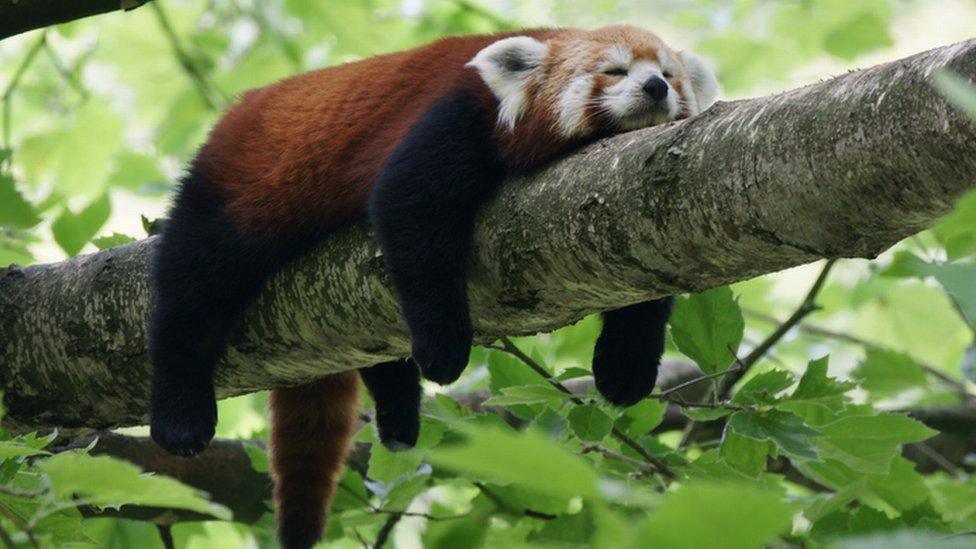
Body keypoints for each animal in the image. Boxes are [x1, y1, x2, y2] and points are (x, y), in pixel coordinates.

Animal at [149, 24, 720, 548]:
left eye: (668, 73)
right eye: (615, 71)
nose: (655, 88)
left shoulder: (634, 209)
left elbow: (643, 284)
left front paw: (625, 367)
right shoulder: (452, 114)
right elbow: (410, 211)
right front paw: (444, 348)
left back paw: (399, 413)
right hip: (241, 182)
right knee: (192, 284)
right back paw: (181, 414)